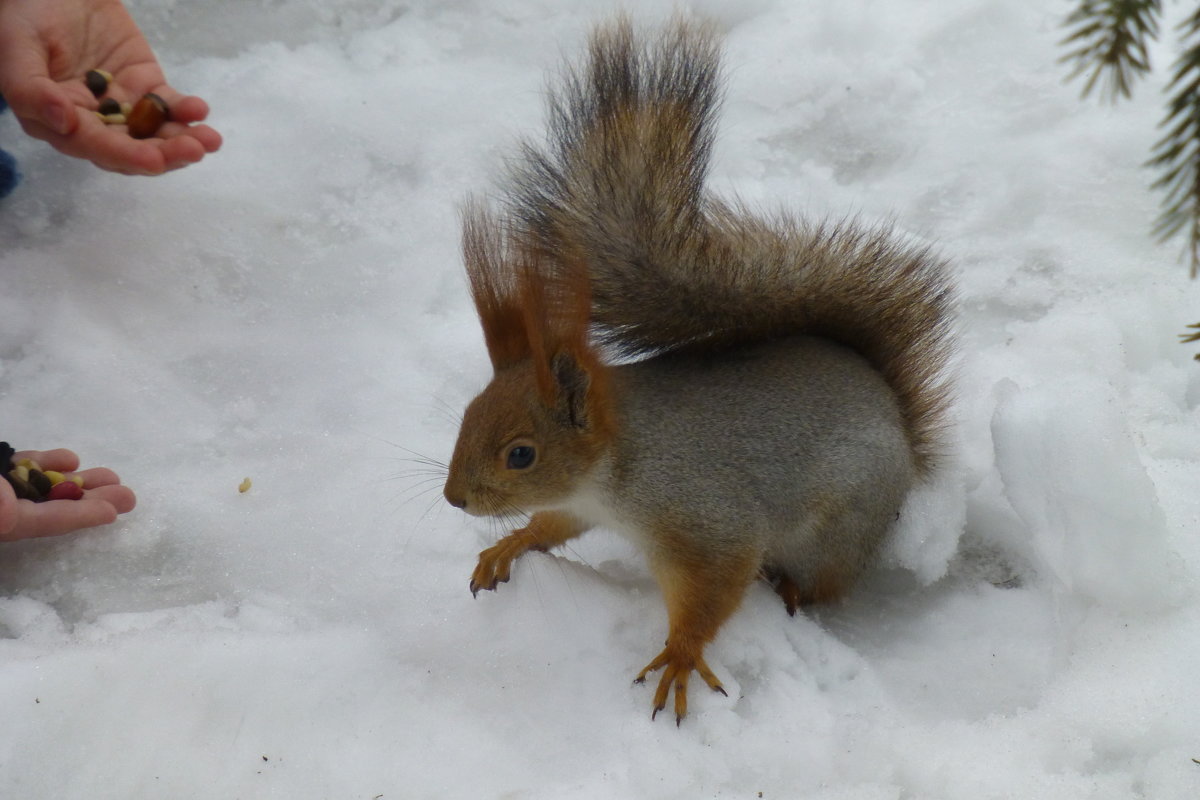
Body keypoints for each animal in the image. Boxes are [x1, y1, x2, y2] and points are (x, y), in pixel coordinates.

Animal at [441, 14, 955, 724]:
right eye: (466, 414)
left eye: (522, 454)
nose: (454, 499)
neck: (616, 464)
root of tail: (900, 425)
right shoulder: (582, 506)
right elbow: (553, 525)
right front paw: (509, 545)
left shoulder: (705, 518)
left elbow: (714, 586)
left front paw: (680, 656)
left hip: (839, 528)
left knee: (825, 585)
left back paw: (791, 591)